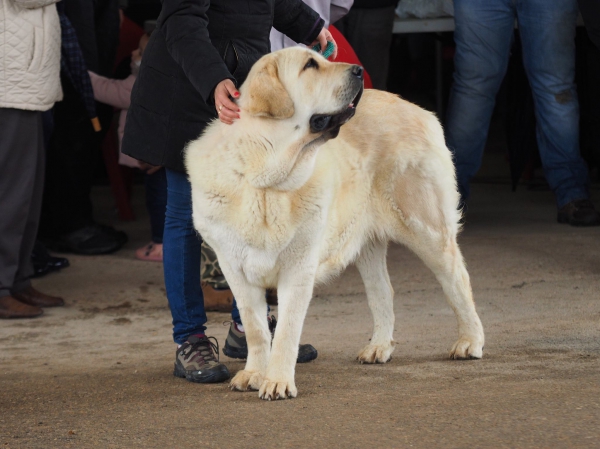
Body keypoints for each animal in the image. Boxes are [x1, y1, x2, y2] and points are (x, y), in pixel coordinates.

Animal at [185, 48, 486, 400]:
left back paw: (470, 341)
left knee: (457, 281)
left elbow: (285, 331)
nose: (358, 70)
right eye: (310, 65)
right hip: (367, 243)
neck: (264, 178)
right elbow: (257, 330)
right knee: (383, 291)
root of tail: (419, 110)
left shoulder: (298, 268)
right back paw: (379, 347)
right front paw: (254, 374)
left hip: (426, 228)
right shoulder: (235, 268)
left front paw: (277, 381)